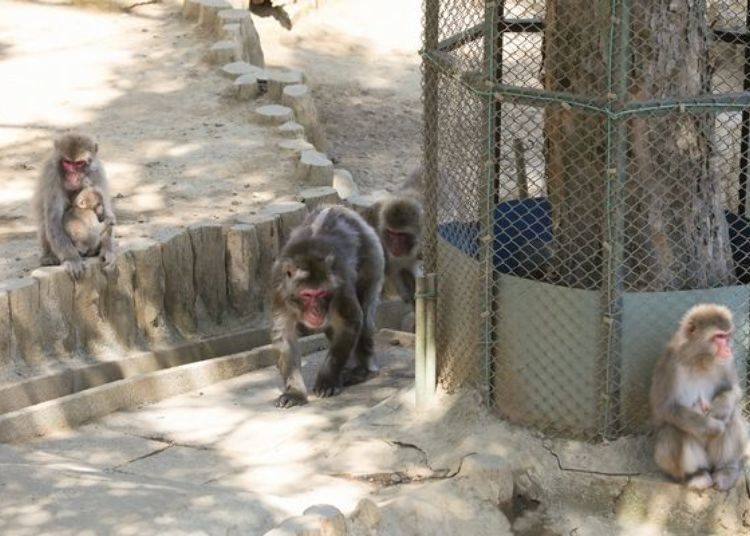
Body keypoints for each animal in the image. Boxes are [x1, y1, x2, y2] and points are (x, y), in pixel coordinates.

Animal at [272, 204, 388, 406]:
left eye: (322, 293)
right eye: (307, 295)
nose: (317, 310)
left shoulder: (340, 288)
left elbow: (351, 322)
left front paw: (327, 380)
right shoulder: (281, 292)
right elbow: (284, 336)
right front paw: (295, 392)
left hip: (372, 255)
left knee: (365, 316)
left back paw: (364, 371)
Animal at [648, 302, 748, 490]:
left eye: (727, 336)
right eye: (719, 337)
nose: (727, 348)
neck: (700, 359)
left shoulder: (727, 361)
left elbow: (734, 390)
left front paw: (720, 409)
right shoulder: (670, 363)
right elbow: (666, 408)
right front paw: (714, 427)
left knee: (732, 415)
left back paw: (726, 470)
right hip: (664, 460)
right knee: (676, 427)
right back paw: (697, 474)